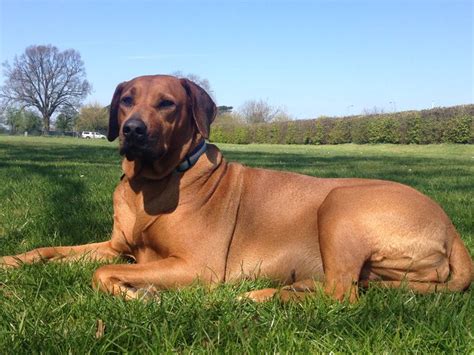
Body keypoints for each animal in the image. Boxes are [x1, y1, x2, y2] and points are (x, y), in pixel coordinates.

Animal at [1, 76, 472, 304]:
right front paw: (12, 260)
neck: (150, 183)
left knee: (343, 298)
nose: (132, 130)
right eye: (126, 100)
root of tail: (452, 229)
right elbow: (51, 251)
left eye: (167, 103)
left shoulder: (197, 267)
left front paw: (140, 294)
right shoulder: (119, 247)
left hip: (341, 203)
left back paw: (258, 297)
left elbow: (100, 273)